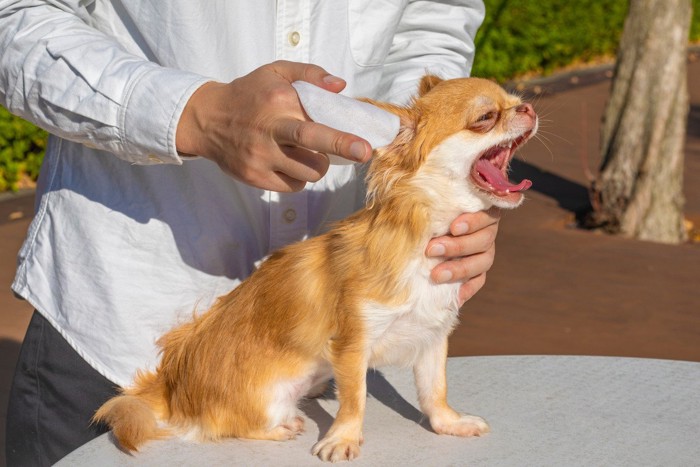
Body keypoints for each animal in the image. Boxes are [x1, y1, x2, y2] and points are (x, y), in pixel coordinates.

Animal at [95, 75, 536, 462]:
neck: (423, 235)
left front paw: (449, 423)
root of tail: (172, 387)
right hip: (265, 398)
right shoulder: (353, 344)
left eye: (517, 99)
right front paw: (344, 439)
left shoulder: (432, 337)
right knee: (219, 427)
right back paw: (282, 426)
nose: (528, 107)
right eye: (485, 117)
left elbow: (434, 391)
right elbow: (355, 399)